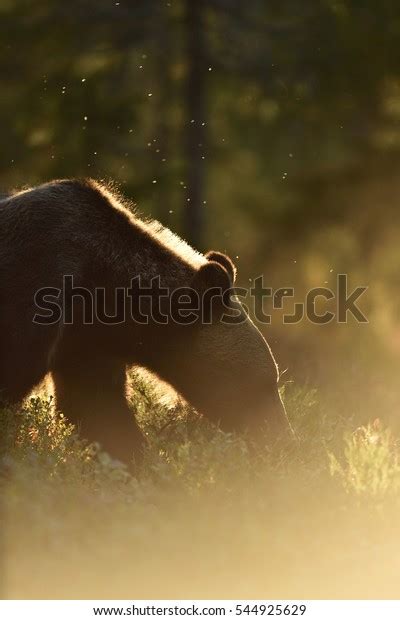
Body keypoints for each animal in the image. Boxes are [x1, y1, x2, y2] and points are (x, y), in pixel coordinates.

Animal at [0, 180, 290, 464]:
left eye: (272, 379)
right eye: (260, 382)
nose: (281, 437)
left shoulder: (84, 345)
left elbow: (98, 408)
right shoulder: (37, 297)